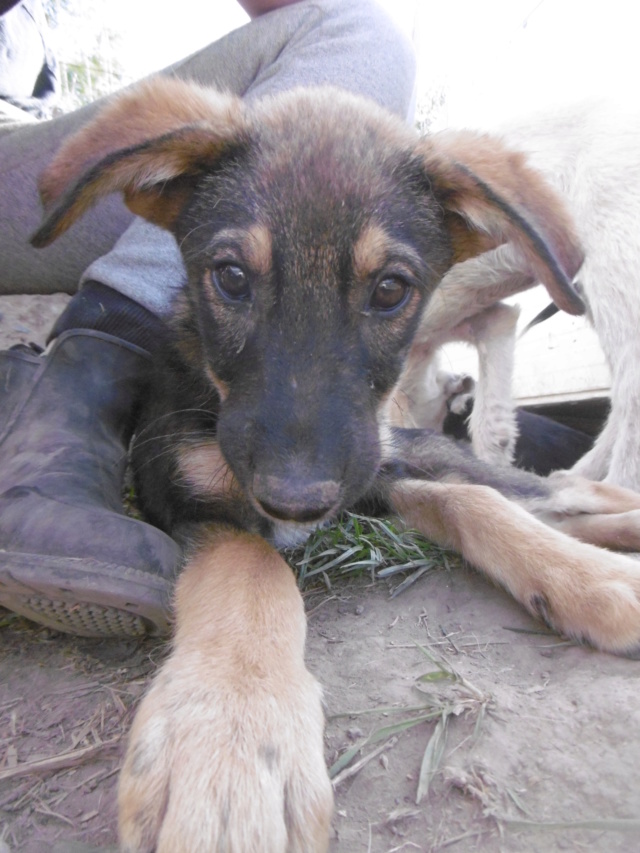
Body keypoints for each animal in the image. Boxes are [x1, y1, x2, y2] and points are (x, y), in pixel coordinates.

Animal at [33, 78, 640, 852]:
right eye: (230, 277)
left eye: (390, 289)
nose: (296, 500)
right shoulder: (181, 491)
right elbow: (252, 566)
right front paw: (231, 741)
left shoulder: (369, 471)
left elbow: (469, 502)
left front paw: (595, 581)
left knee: (542, 490)